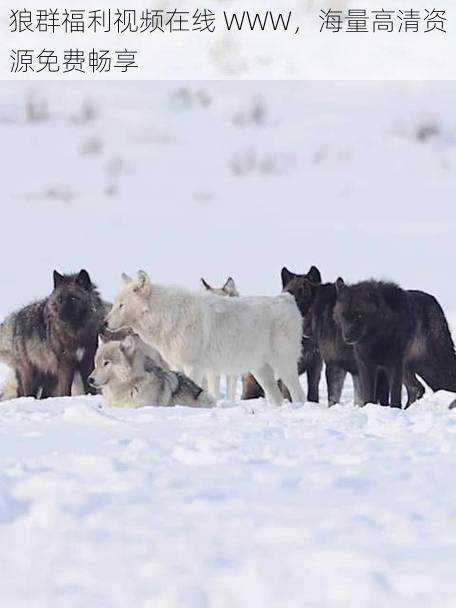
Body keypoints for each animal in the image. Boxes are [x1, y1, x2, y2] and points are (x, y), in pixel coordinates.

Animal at [0, 270, 106, 400]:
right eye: (60, 299)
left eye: (73, 298)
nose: (60, 314)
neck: (77, 334)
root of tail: (16, 317)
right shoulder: (66, 365)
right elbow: (65, 390)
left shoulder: (87, 361)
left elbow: (90, 387)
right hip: (31, 374)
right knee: (25, 392)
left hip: (50, 378)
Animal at [106, 270, 304, 404]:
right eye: (115, 304)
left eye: (122, 305)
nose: (105, 322)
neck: (166, 316)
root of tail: (287, 300)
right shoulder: (189, 368)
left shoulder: (194, 368)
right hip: (261, 371)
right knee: (278, 399)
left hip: (283, 366)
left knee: (299, 395)